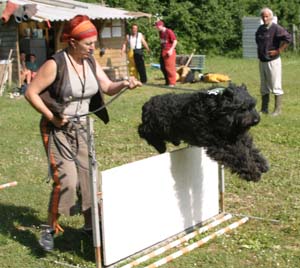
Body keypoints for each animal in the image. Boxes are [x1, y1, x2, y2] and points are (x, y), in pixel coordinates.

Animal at [137, 84, 268, 180]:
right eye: (242, 108)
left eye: (253, 105)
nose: (256, 120)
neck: (214, 110)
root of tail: (147, 104)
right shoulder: (220, 144)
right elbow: (239, 155)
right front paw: (252, 172)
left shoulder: (237, 136)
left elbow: (250, 148)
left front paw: (261, 163)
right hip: (155, 127)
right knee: (142, 131)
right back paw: (160, 147)